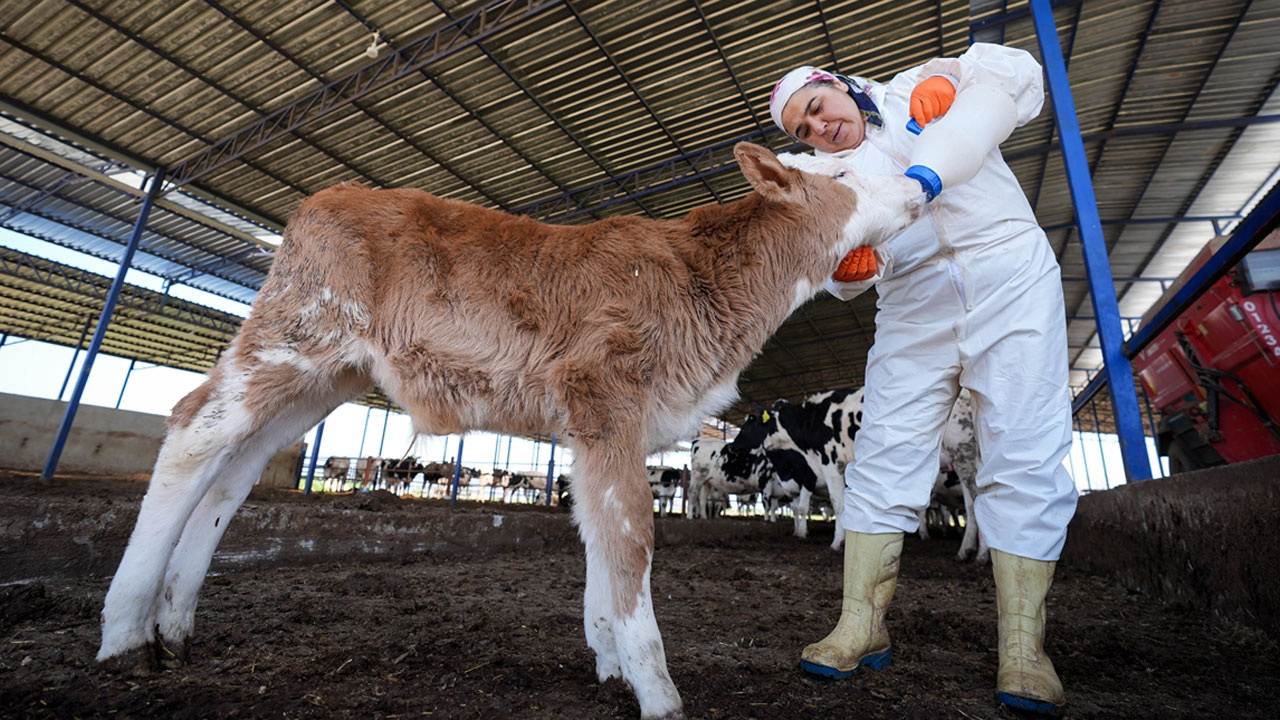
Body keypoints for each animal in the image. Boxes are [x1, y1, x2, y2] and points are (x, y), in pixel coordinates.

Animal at [97, 141, 921, 717]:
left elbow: (596, 535)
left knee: (237, 468)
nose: (919, 182)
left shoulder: (593, 429)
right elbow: (632, 537)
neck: (704, 290)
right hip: (296, 331)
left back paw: (174, 625)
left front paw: (609, 661)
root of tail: (321, 201)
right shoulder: (607, 396)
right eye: (843, 170)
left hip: (326, 375)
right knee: (194, 430)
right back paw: (125, 634)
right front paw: (658, 691)